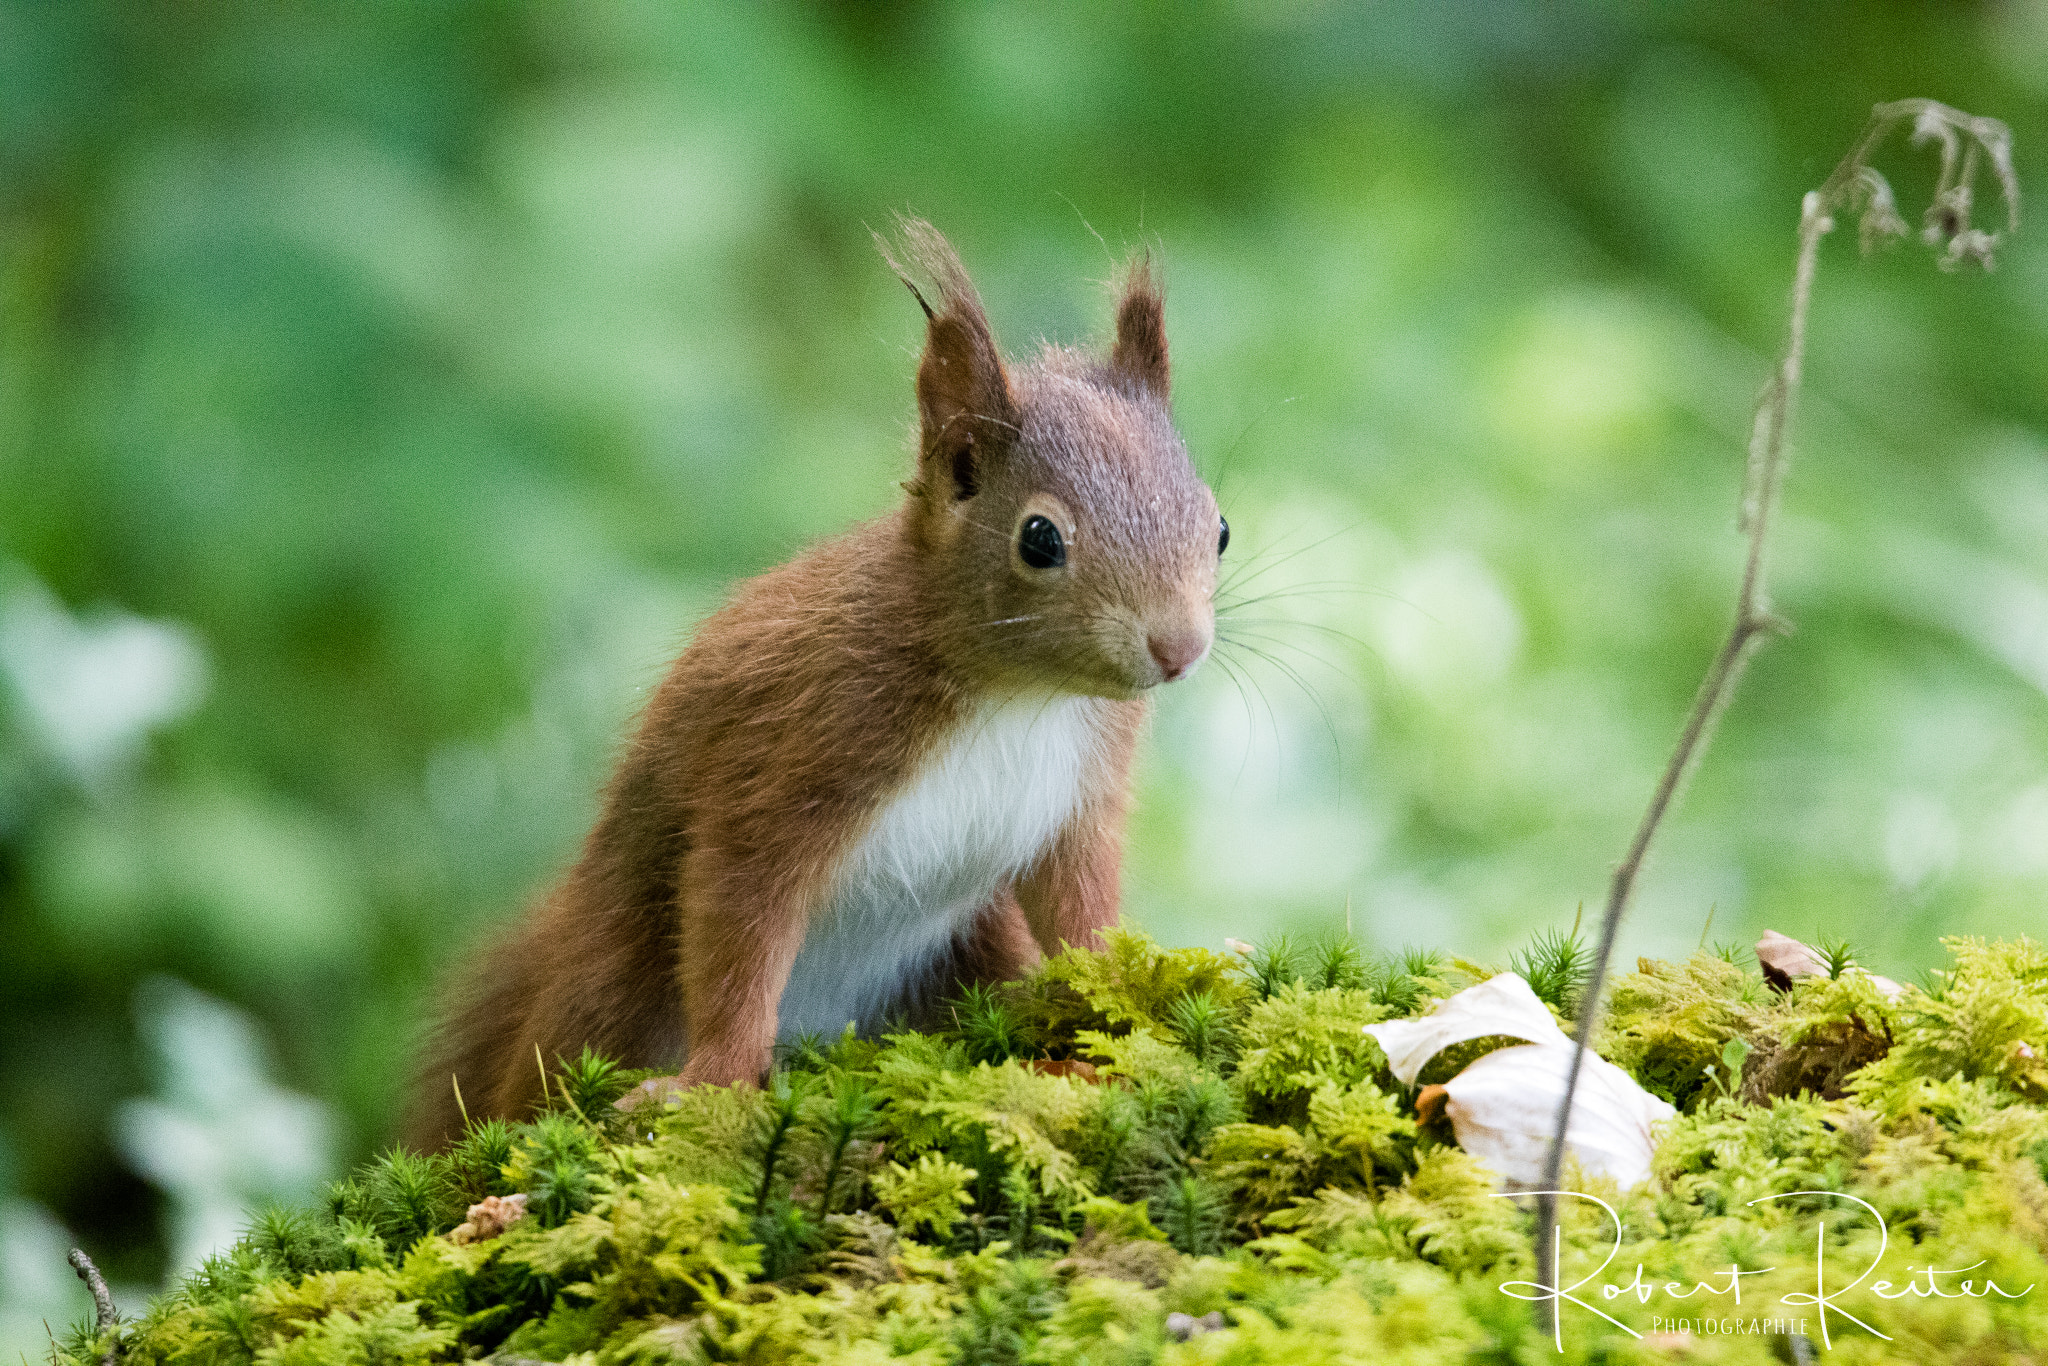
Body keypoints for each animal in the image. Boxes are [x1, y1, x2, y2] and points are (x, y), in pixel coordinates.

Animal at [406, 220, 1224, 1146]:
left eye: (1219, 526)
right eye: (1040, 539)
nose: (1180, 648)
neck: (1016, 696)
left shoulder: (1082, 792)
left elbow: (1082, 914)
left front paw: (1124, 1011)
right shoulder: (799, 742)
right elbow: (739, 916)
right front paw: (712, 1081)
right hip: (607, 987)